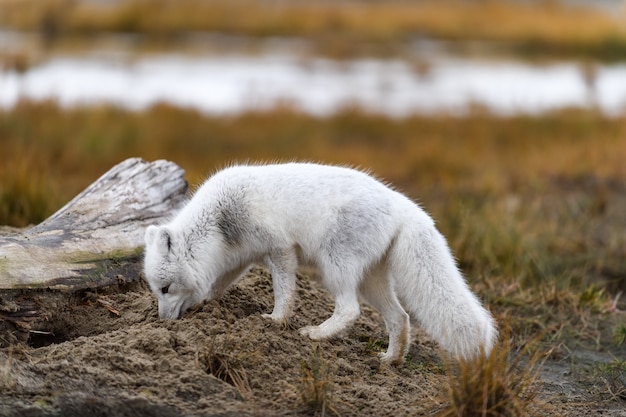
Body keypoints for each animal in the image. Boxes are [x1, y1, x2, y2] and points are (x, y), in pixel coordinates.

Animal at [144, 162, 494, 364]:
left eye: (165, 288)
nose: (161, 321)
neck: (220, 221)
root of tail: (402, 204)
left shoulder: (281, 248)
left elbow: (284, 291)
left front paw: (276, 320)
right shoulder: (238, 258)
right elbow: (218, 284)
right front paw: (206, 303)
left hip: (334, 266)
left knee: (350, 310)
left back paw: (317, 334)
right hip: (372, 281)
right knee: (400, 317)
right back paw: (390, 360)